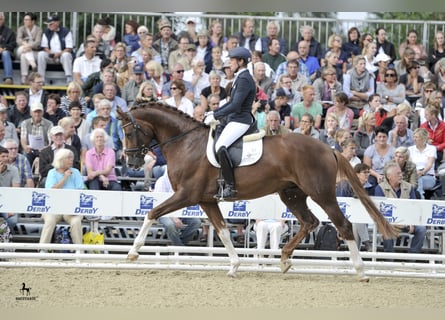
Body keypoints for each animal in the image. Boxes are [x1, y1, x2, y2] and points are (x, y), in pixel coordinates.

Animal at [116, 102, 398, 280]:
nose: (132, 162)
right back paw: (284, 260)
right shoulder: (207, 200)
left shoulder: (187, 195)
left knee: (343, 225)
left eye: (129, 132)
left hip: (322, 194)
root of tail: (328, 148)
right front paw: (234, 266)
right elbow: (223, 232)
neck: (186, 143)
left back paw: (361, 271)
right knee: (310, 222)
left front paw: (132, 253)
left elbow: (152, 213)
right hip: (292, 194)